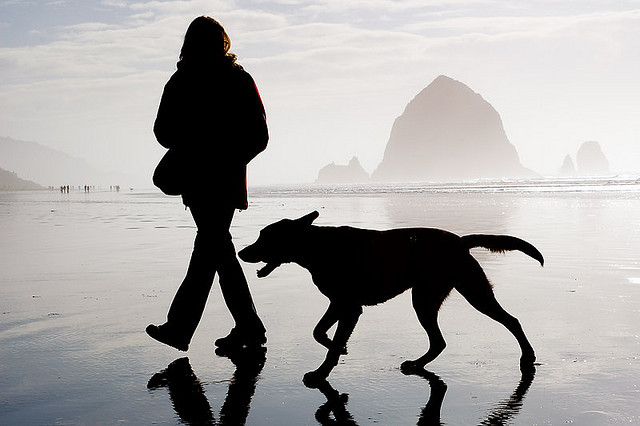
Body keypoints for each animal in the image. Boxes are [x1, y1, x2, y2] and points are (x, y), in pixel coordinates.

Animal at [238, 211, 544, 384]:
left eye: (265, 237)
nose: (241, 252)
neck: (317, 247)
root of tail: (460, 240)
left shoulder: (349, 308)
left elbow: (331, 344)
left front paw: (322, 372)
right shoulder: (339, 303)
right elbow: (319, 332)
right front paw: (339, 348)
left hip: (458, 294)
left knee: (511, 321)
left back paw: (527, 356)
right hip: (433, 297)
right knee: (440, 342)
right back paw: (418, 364)